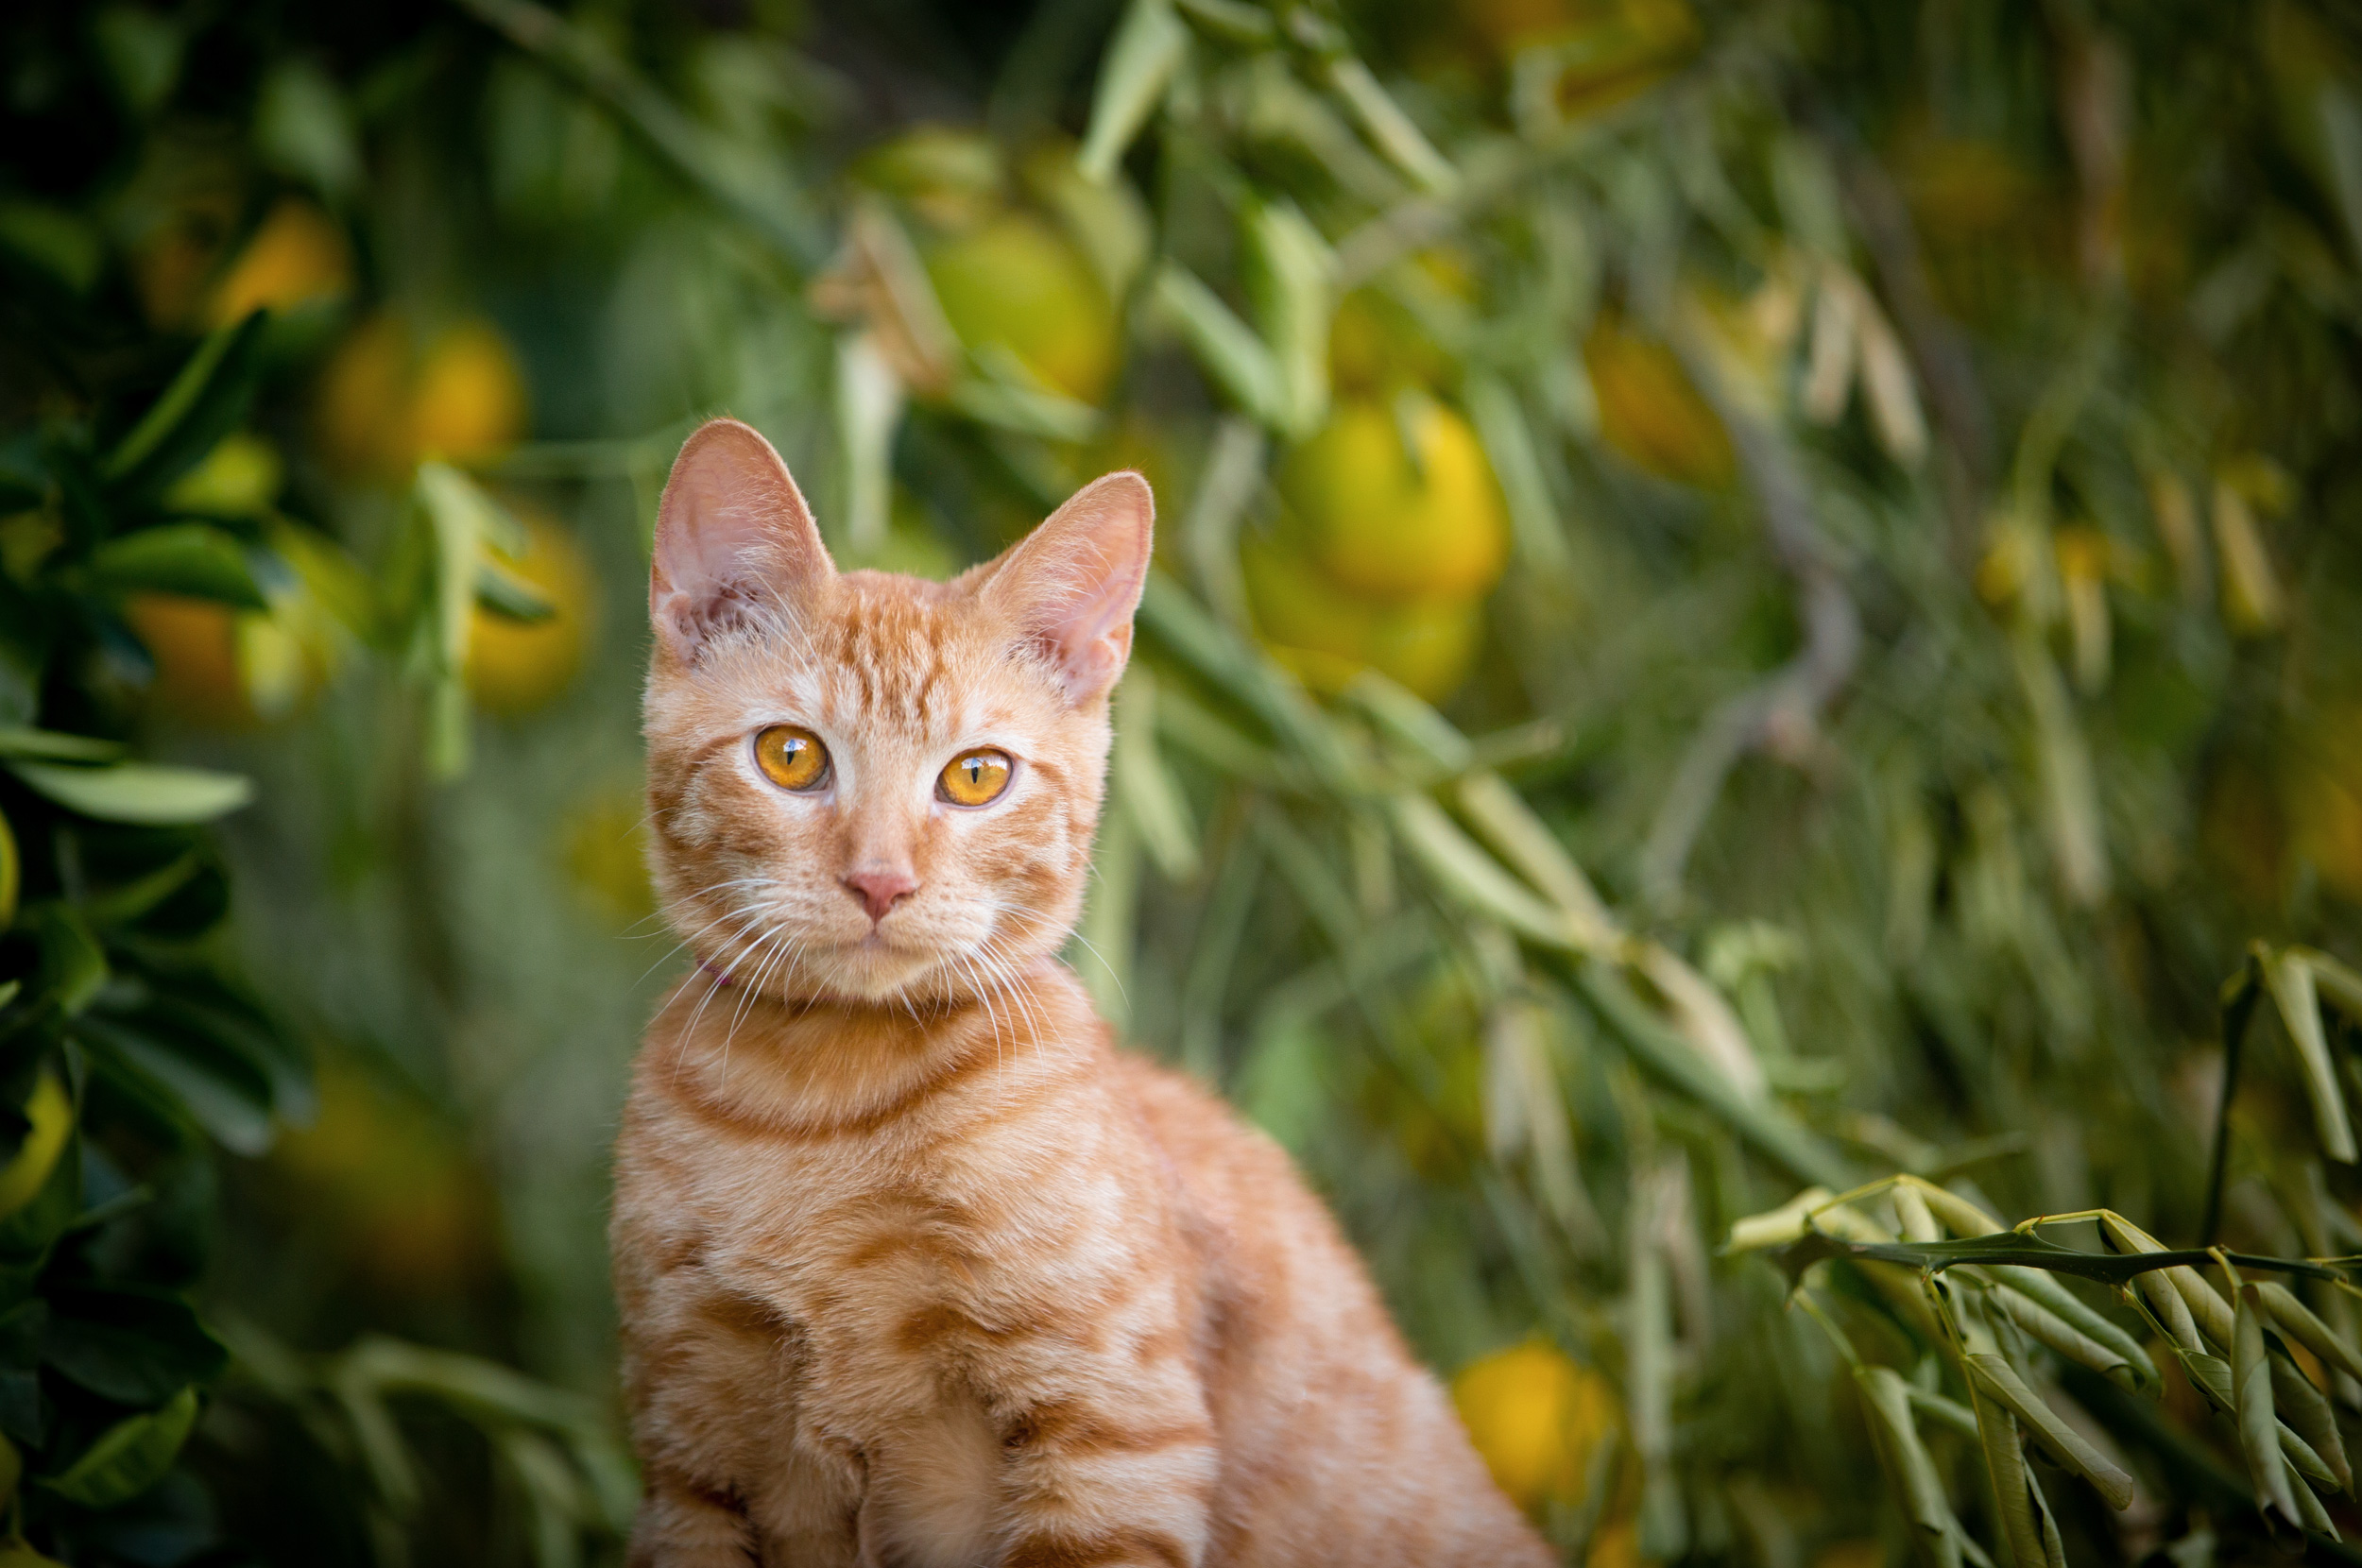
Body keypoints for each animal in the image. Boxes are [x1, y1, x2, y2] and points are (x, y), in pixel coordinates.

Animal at [619, 420, 1559, 1568]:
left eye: (977, 776)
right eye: (790, 756)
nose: (880, 880)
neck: (819, 1108)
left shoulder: (1118, 1442)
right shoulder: (690, 1455)